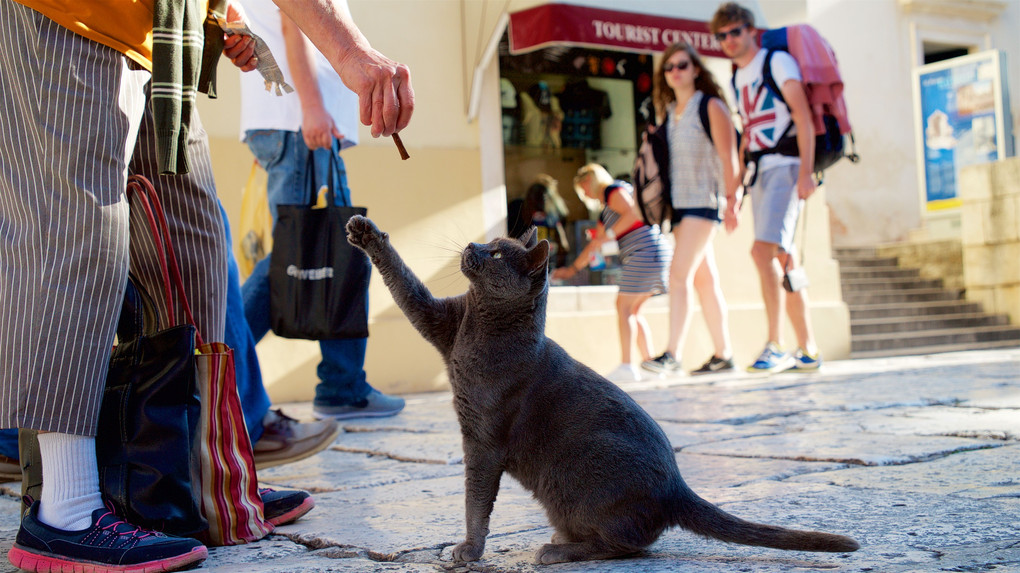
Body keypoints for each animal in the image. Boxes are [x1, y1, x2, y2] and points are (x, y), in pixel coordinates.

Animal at [346, 215, 856, 562]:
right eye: (488, 243)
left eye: (497, 254)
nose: (473, 243)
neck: (479, 330)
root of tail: (677, 487)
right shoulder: (441, 321)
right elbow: (404, 286)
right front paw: (365, 232)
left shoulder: (483, 440)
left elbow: (477, 499)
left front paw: (468, 549)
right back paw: (562, 540)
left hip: (575, 472)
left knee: (630, 545)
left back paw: (558, 551)